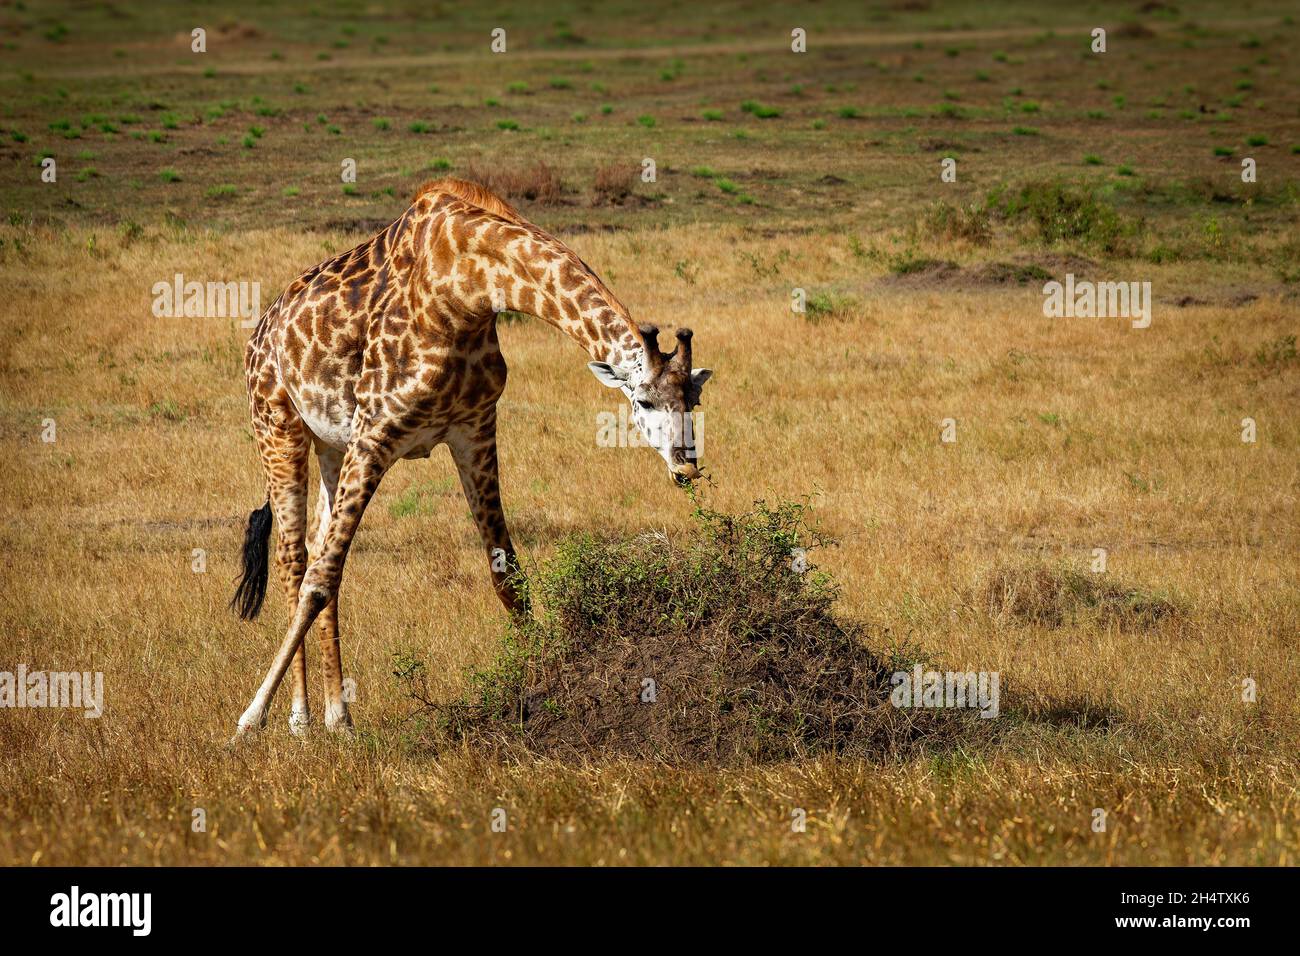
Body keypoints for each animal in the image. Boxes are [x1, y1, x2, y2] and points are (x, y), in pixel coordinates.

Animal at [228, 178, 712, 739]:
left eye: (694, 400)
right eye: (645, 402)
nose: (685, 466)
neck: (466, 289)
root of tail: (260, 331)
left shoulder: (474, 429)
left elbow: (508, 577)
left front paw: (538, 682)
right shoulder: (376, 433)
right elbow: (319, 580)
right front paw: (249, 718)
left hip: (331, 443)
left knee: (315, 547)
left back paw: (339, 717)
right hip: (277, 425)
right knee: (294, 560)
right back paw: (300, 719)